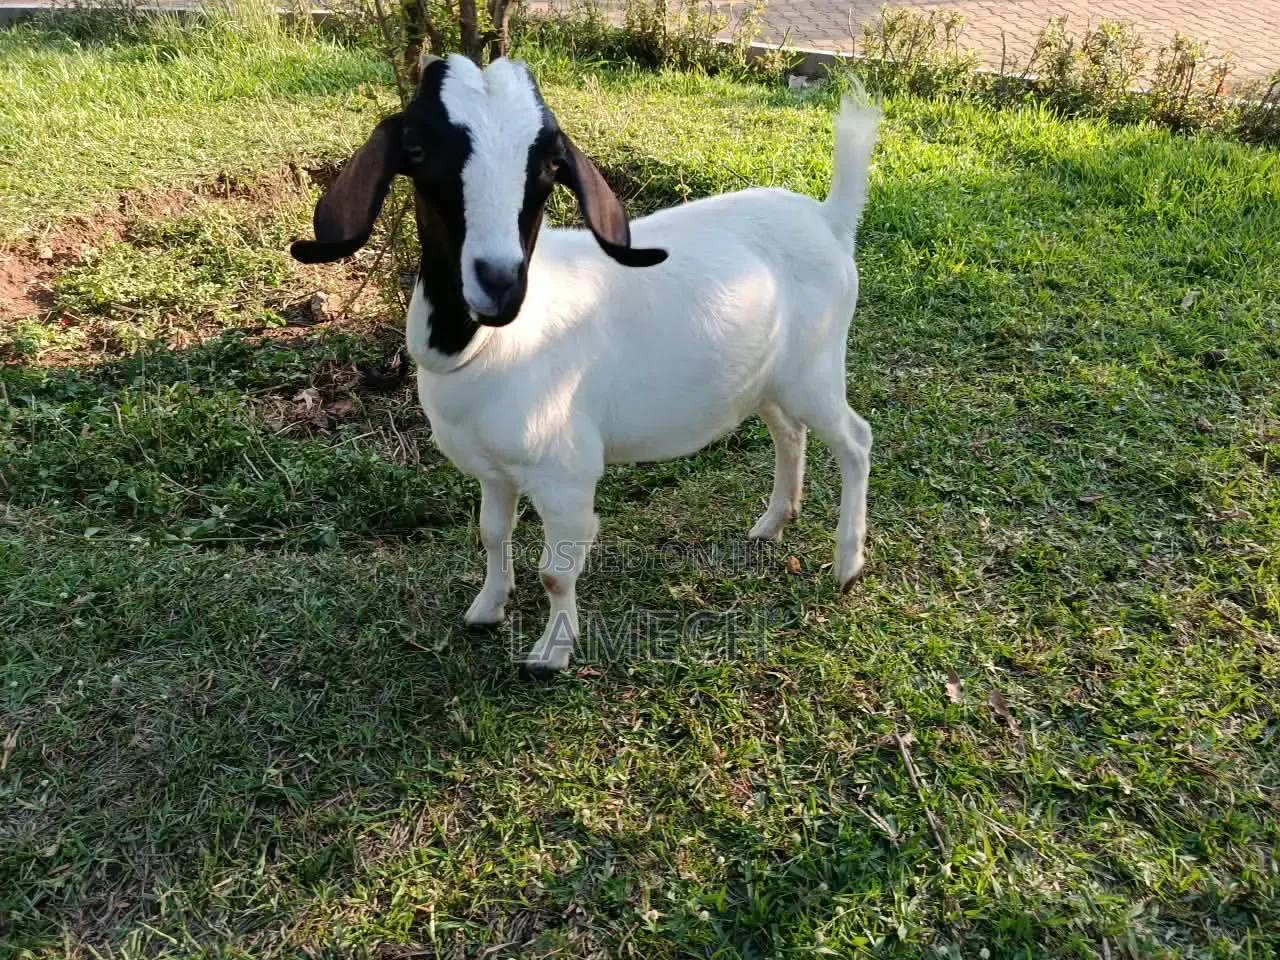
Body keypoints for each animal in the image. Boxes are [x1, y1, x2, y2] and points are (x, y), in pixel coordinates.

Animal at [291, 55, 881, 674]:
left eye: (551, 163)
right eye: (418, 147)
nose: (499, 280)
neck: (491, 345)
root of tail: (828, 219)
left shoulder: (565, 475)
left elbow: (556, 572)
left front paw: (552, 652)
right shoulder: (493, 469)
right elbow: (491, 534)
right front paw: (487, 608)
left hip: (816, 369)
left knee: (855, 441)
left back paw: (847, 565)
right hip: (767, 379)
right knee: (789, 432)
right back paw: (772, 523)